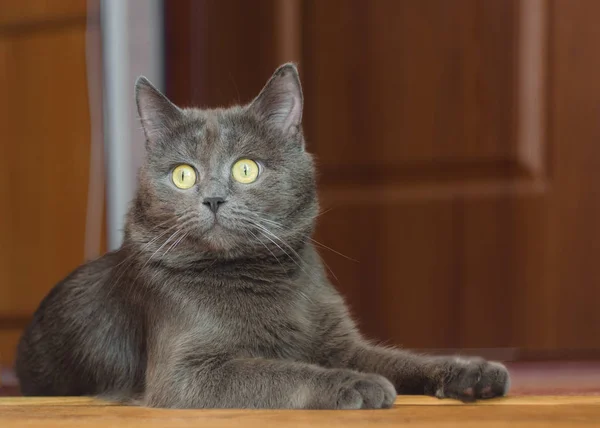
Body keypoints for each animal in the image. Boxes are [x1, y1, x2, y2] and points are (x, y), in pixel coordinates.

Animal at [16, 63, 508, 408]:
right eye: (182, 175)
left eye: (246, 169)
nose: (213, 199)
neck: (263, 279)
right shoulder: (185, 375)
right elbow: (281, 372)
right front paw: (356, 384)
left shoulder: (341, 342)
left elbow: (403, 358)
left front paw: (473, 372)